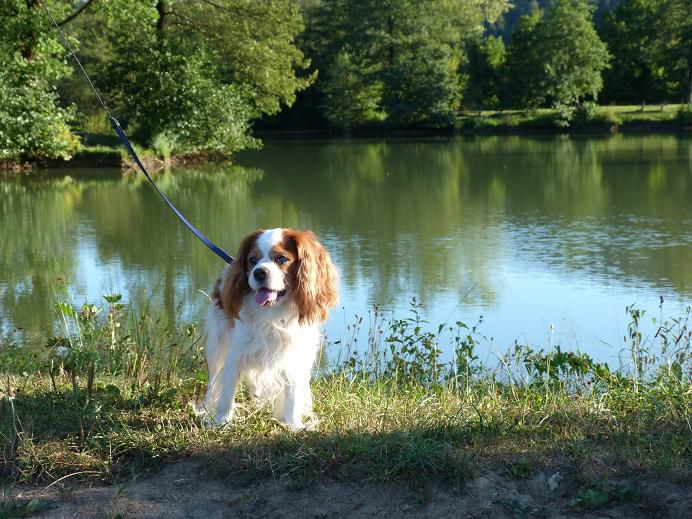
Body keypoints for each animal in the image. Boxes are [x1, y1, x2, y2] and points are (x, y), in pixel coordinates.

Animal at [201, 226, 340, 426]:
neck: (273, 312)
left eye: (281, 259)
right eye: (252, 261)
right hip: (217, 347)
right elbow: (227, 391)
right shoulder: (235, 354)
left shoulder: (294, 357)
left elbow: (292, 393)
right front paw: (222, 421)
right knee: (213, 383)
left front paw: (292, 424)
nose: (259, 272)